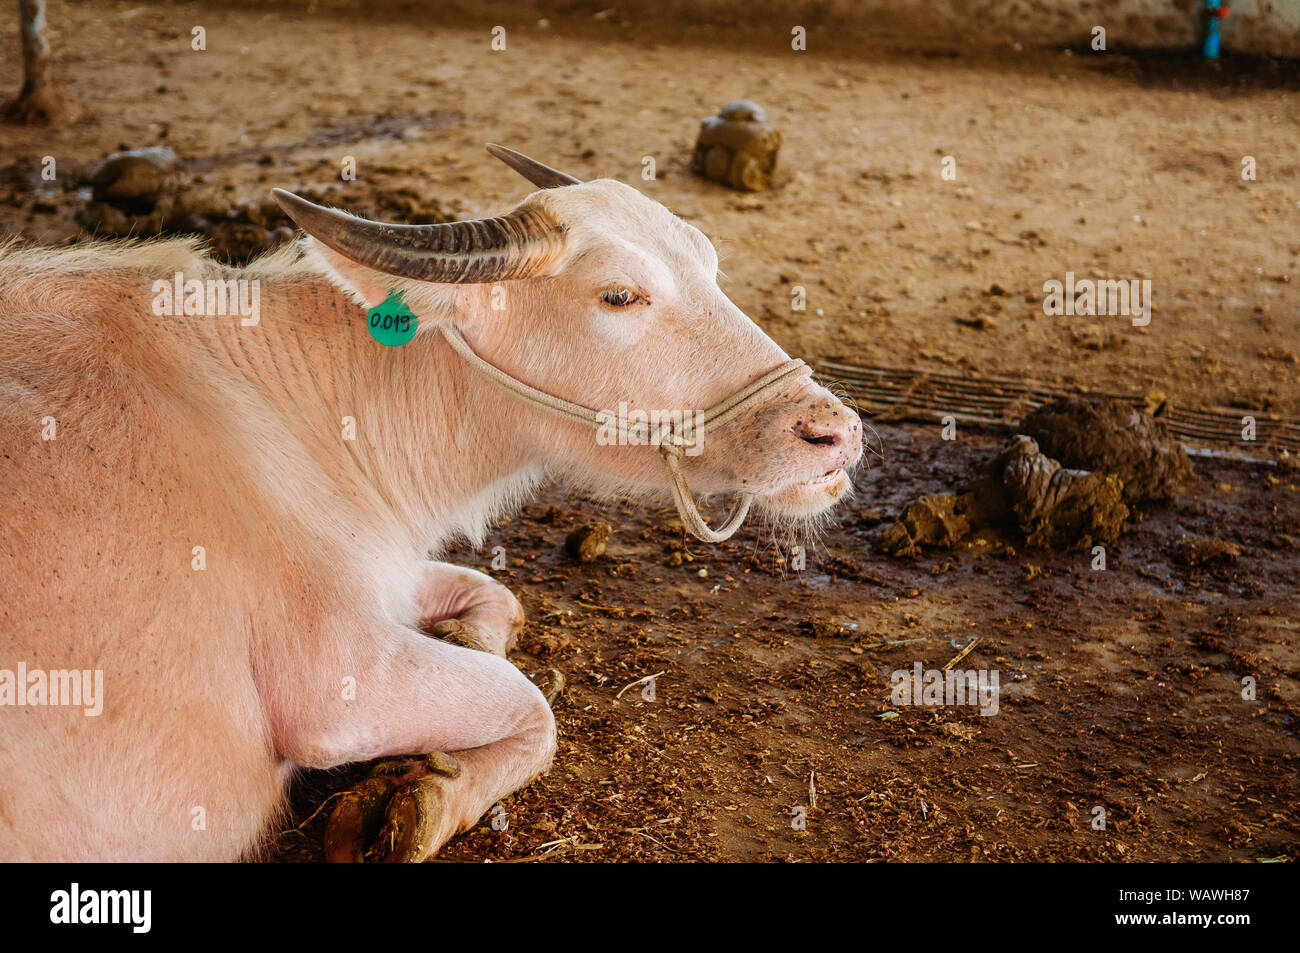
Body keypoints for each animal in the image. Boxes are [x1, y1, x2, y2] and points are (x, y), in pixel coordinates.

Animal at [2, 144, 863, 858]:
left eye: (710, 260)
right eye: (619, 295)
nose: (837, 432)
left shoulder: (382, 570)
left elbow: (499, 596)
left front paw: (465, 640)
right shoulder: (341, 682)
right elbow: (533, 706)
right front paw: (418, 803)